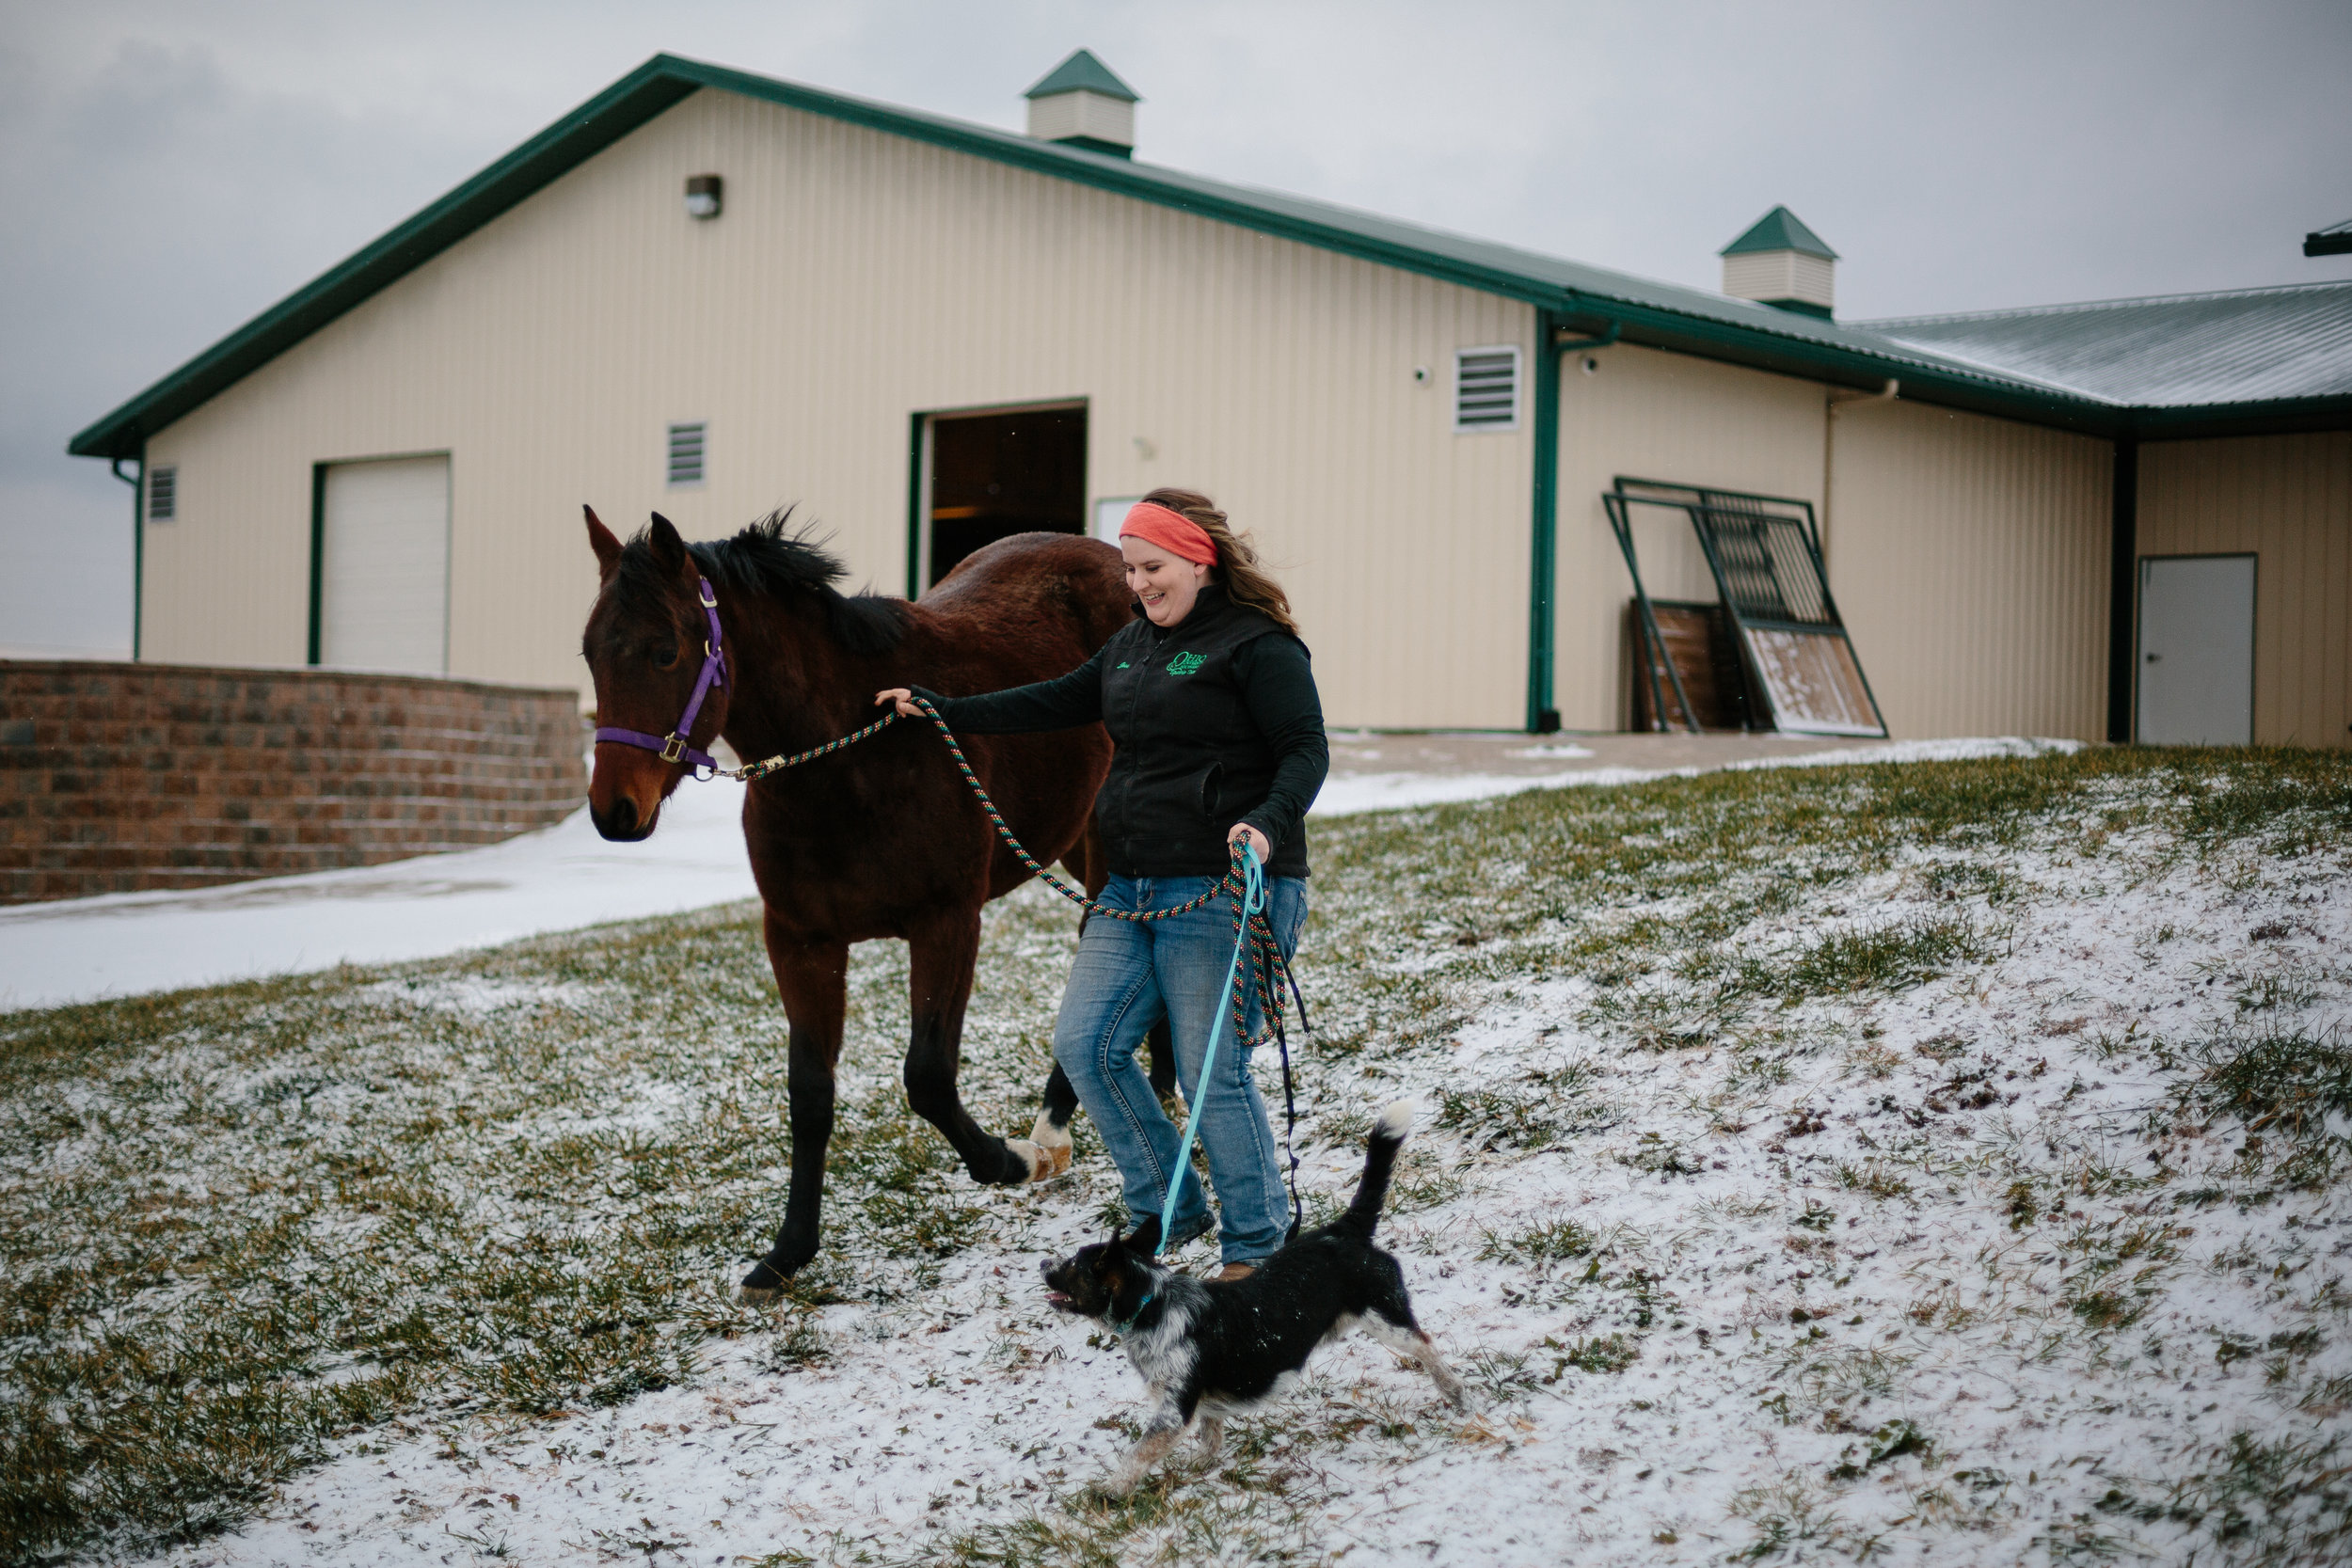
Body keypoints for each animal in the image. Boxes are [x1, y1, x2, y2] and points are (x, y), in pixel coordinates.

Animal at [583, 510, 1143, 1297]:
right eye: (590, 653)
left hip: (1102, 837)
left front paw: (1007, 1160)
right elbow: (810, 1094)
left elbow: (928, 1075)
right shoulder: (800, 941)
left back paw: (1056, 1127)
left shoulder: (947, 922)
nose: (614, 811)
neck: (851, 756)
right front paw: (789, 1249)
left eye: (665, 653)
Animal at [1040, 1104, 1458, 1495]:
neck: (1152, 1304)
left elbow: (1138, 1453)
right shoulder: (1200, 1403)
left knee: (1425, 1344)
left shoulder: (1173, 1410)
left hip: (1386, 1317)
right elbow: (1210, 1434)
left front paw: (1108, 1492)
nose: (1043, 1262)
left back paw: (1458, 1394)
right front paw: (1201, 1465)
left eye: (1073, 1264)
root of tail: (1345, 1229)